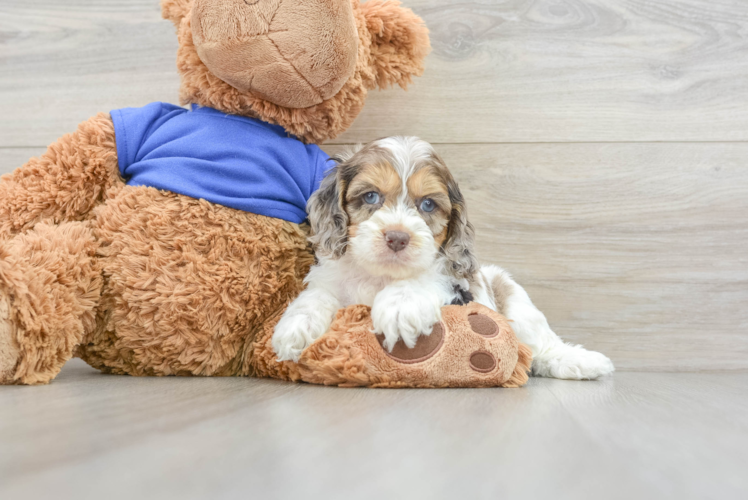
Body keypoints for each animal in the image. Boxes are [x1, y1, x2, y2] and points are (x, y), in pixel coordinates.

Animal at [274, 137, 612, 378]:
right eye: (370, 196)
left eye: (427, 204)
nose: (397, 237)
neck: (382, 275)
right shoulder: (331, 279)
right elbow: (316, 295)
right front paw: (294, 327)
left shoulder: (455, 284)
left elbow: (423, 280)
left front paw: (399, 307)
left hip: (514, 296)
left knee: (541, 344)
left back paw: (580, 362)